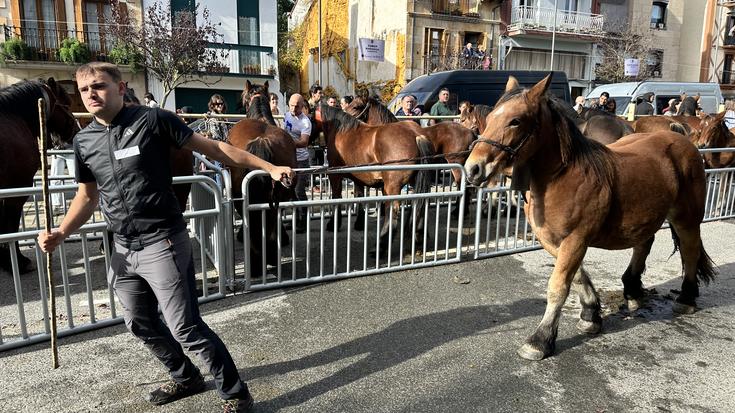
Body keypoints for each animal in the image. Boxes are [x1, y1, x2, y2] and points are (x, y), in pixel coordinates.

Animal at [312, 103, 436, 243]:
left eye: (356, 106)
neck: (341, 131)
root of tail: (416, 135)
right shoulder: (358, 177)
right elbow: (359, 196)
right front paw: (359, 223)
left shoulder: (335, 176)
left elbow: (336, 198)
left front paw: (333, 224)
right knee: (420, 204)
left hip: (392, 186)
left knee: (393, 209)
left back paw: (383, 242)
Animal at [466, 75, 712, 358]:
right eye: (490, 117)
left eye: (515, 120)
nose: (473, 168)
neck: (561, 178)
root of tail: (682, 139)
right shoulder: (555, 241)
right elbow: (576, 276)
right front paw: (591, 313)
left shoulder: (576, 239)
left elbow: (558, 286)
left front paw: (540, 339)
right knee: (644, 244)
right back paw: (633, 291)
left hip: (687, 219)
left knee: (690, 250)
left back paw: (686, 298)